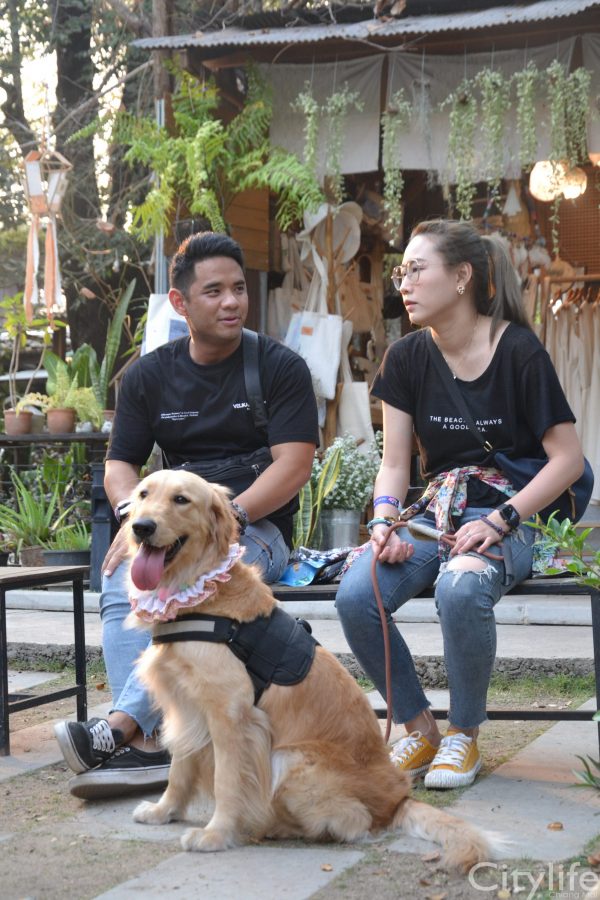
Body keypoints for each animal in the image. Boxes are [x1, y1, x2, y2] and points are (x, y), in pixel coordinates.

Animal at [125, 469, 496, 869]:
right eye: (143, 494)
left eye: (181, 499)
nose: (141, 527)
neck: (202, 595)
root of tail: (399, 800)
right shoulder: (185, 706)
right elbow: (178, 771)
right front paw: (163, 811)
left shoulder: (232, 717)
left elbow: (227, 780)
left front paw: (216, 834)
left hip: (290, 758)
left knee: (353, 822)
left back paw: (274, 825)